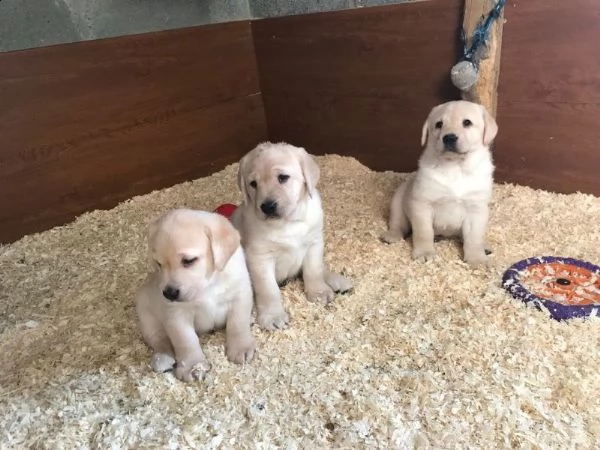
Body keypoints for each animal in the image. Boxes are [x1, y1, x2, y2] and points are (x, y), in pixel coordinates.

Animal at [134, 209, 255, 382]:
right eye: (159, 264)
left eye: (189, 260)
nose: (169, 293)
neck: (208, 284)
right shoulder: (176, 314)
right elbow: (186, 340)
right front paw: (192, 366)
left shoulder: (240, 294)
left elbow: (237, 323)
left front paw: (241, 347)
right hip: (147, 316)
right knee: (159, 339)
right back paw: (162, 358)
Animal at [382, 101, 500, 268]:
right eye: (439, 124)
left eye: (467, 123)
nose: (449, 138)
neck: (455, 167)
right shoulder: (422, 204)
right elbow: (423, 232)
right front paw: (424, 253)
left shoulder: (476, 209)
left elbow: (474, 238)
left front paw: (477, 259)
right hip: (398, 201)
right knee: (398, 223)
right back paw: (392, 235)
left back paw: (484, 247)